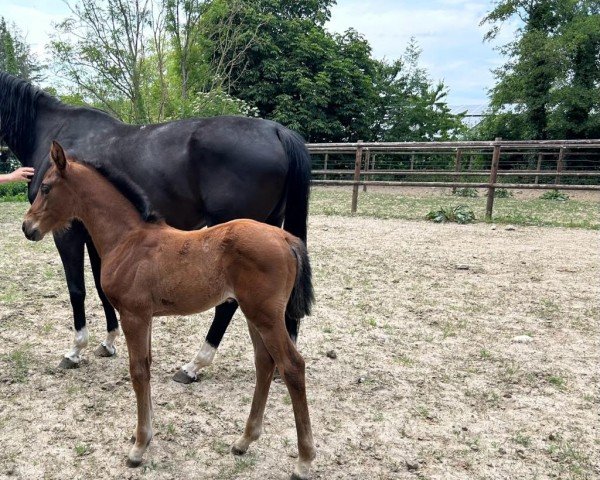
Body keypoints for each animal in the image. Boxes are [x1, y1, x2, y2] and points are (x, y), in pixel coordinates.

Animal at [21, 141, 316, 478]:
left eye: (46, 187)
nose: (27, 227)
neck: (128, 239)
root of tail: (285, 237)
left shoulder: (133, 316)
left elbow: (137, 372)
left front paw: (138, 448)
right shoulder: (145, 316)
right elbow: (147, 367)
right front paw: (145, 437)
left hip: (266, 316)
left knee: (292, 366)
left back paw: (304, 460)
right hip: (255, 314)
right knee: (265, 363)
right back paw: (244, 441)